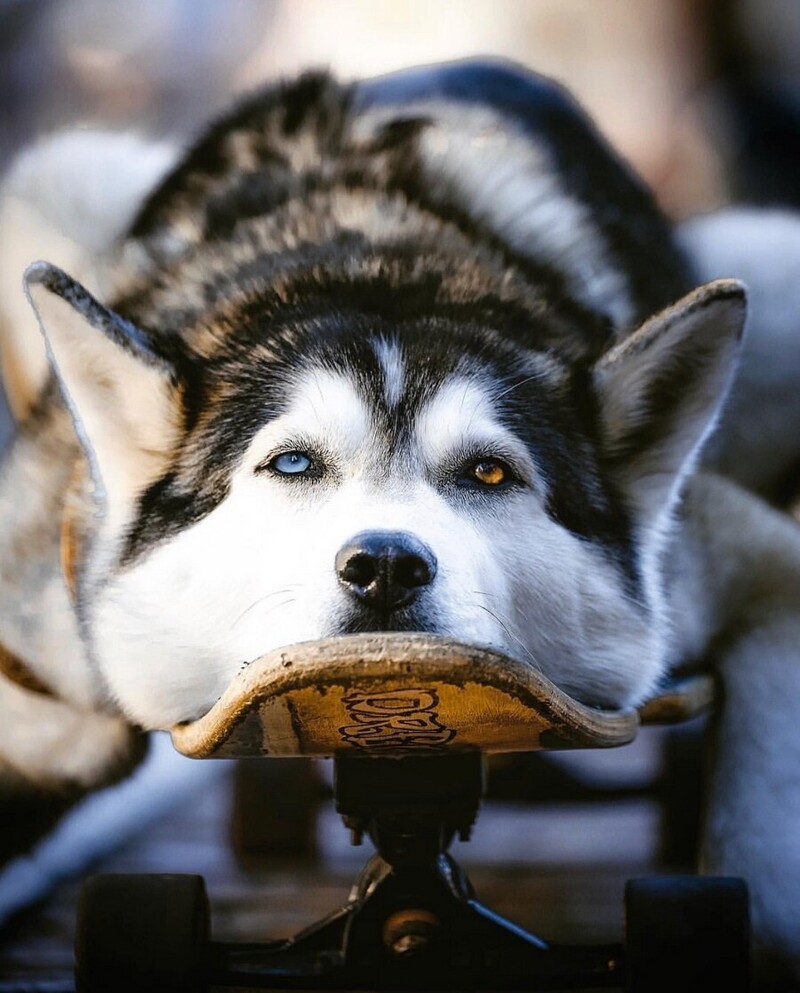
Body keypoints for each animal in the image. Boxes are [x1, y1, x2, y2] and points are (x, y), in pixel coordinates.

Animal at [1, 62, 800, 984]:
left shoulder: (752, 572)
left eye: (489, 472)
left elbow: (761, 837)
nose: (384, 564)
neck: (377, 263)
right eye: (292, 464)